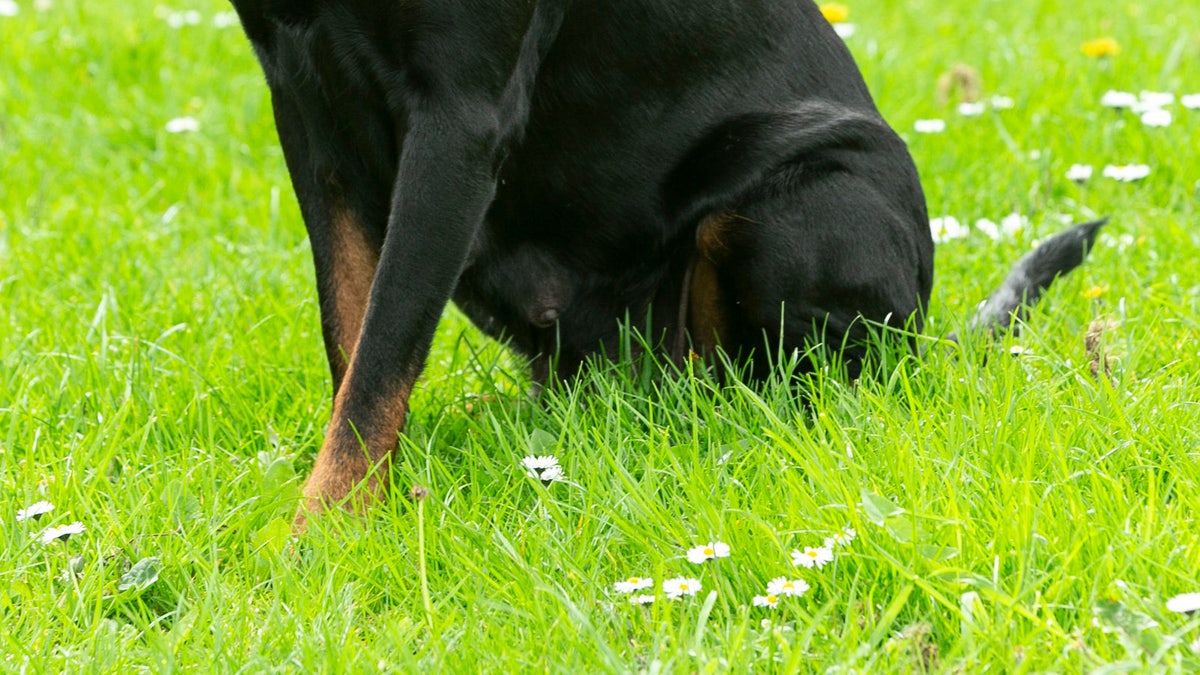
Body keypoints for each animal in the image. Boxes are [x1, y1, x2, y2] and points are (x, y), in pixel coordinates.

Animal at [226, 0, 1104, 521]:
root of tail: (928, 338)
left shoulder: (459, 111)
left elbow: (381, 355)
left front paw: (321, 540)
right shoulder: (304, 101)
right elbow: (354, 337)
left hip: (798, 195)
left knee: (799, 387)